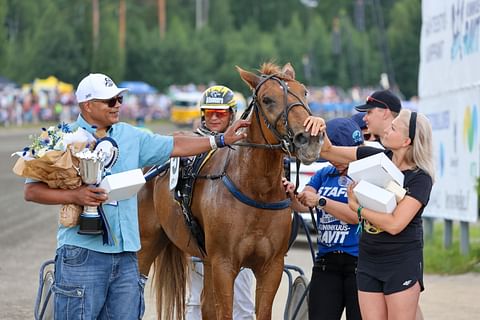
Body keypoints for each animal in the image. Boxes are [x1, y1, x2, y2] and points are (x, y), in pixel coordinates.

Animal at [137, 62, 320, 320]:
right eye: (267, 99)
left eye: (304, 92)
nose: (310, 138)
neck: (257, 191)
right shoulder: (224, 263)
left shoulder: (271, 266)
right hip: (148, 241)